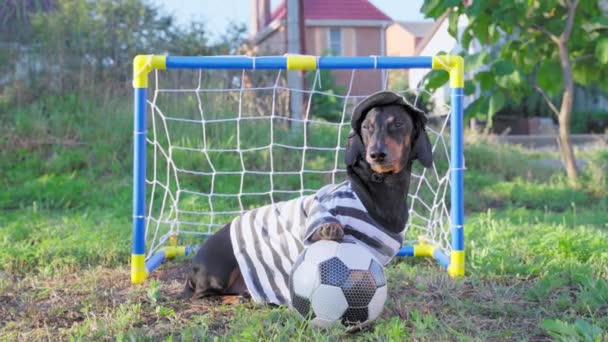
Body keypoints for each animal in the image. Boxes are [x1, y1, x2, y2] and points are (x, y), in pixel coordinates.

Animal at [182, 90, 432, 302]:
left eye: (398, 123)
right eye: (367, 127)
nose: (376, 154)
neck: (378, 187)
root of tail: (193, 268)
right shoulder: (321, 207)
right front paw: (330, 229)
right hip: (219, 273)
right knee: (203, 295)